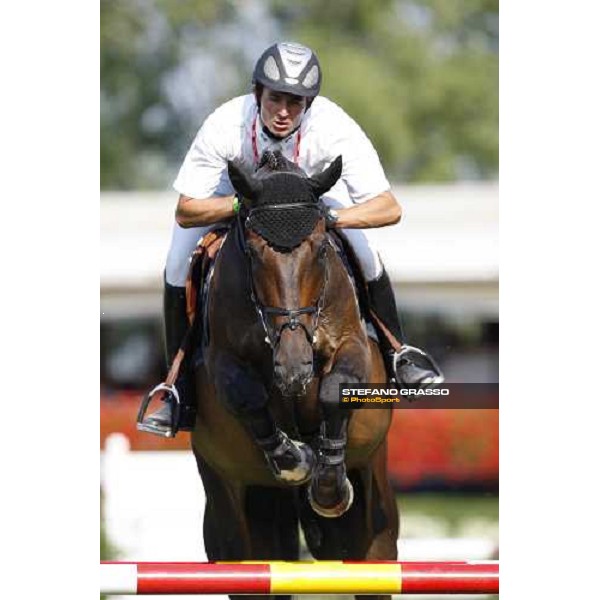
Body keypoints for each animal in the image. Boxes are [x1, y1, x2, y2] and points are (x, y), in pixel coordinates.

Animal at [192, 150, 398, 600]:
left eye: (320, 250)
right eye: (253, 254)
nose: (293, 368)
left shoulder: (353, 344)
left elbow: (337, 389)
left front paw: (328, 486)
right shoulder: (220, 359)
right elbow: (246, 395)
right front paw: (295, 458)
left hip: (374, 510)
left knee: (372, 556)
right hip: (235, 506)